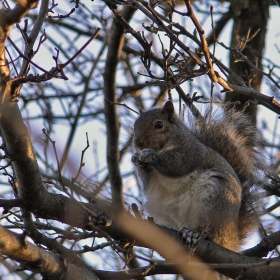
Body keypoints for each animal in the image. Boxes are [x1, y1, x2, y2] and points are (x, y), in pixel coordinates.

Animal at [131, 101, 262, 252]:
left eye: (159, 124)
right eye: (135, 126)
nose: (138, 143)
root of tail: (231, 236)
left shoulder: (190, 152)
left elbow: (177, 164)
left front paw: (151, 156)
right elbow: (147, 181)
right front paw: (136, 158)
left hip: (218, 198)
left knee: (210, 231)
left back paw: (193, 234)